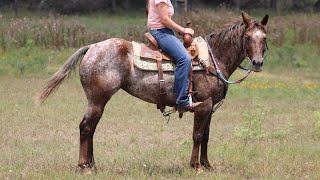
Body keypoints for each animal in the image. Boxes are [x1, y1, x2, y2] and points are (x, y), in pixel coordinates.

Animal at [36, 12, 268, 173]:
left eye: (264, 37)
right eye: (248, 37)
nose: (257, 63)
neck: (212, 59)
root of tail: (92, 47)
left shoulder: (209, 108)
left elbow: (206, 137)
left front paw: (207, 164)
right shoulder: (203, 105)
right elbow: (197, 135)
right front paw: (195, 166)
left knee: (91, 128)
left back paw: (92, 164)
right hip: (97, 100)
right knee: (85, 127)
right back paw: (84, 166)